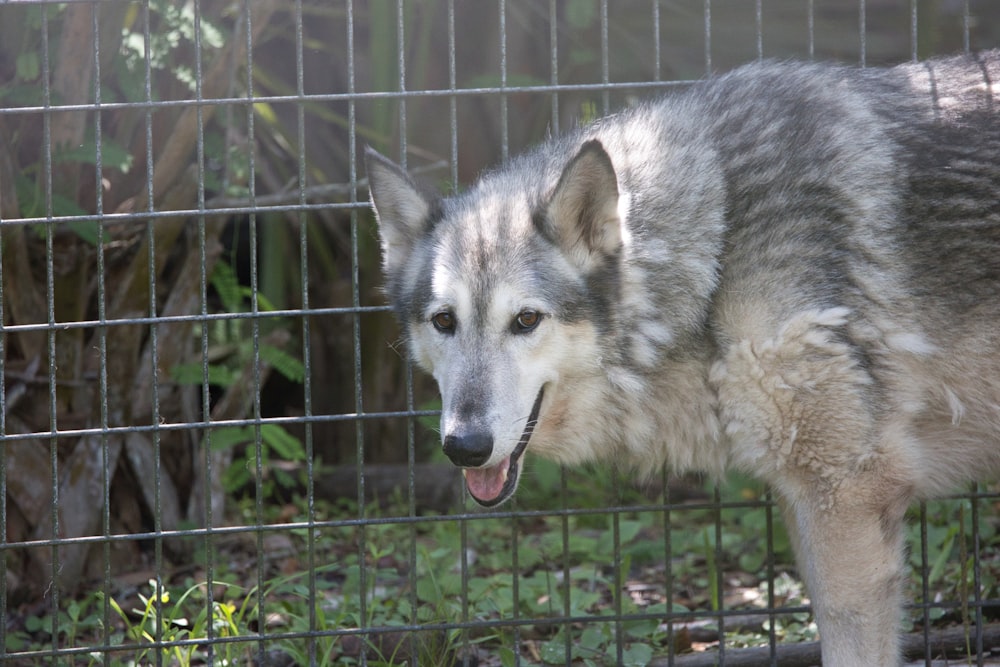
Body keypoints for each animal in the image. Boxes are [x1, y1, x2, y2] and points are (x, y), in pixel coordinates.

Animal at [366, 53, 1000, 667]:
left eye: (525, 320)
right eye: (444, 322)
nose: (464, 446)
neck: (716, 247)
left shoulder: (845, 496)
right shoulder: (806, 499)